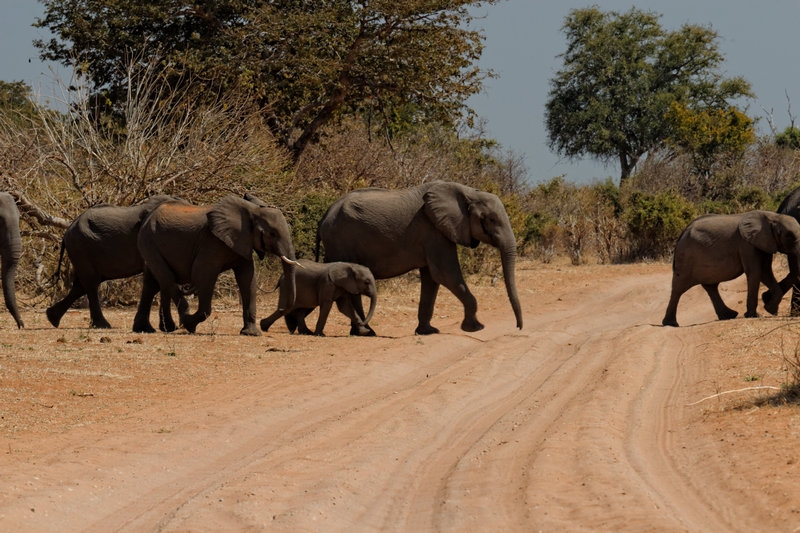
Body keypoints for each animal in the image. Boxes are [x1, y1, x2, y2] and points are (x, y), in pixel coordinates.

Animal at [45, 195, 186, 328]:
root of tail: (67, 232)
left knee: (81, 285)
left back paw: (52, 318)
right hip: (80, 247)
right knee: (91, 282)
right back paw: (102, 325)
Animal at [133, 193, 298, 334]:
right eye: (272, 234)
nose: (265, 324)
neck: (252, 210)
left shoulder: (241, 242)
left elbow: (248, 279)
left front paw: (251, 333)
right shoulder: (212, 243)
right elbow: (203, 274)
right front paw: (190, 324)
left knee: (153, 283)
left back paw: (151, 329)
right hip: (148, 240)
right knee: (167, 278)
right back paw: (183, 322)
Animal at [316, 181, 520, 334]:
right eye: (490, 219)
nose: (518, 327)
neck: (468, 192)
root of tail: (325, 215)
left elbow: (432, 278)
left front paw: (427, 331)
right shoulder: (433, 230)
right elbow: (445, 274)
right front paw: (476, 328)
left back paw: (365, 332)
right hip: (340, 241)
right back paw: (365, 332)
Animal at [660, 210, 800, 326]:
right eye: (790, 236)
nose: (766, 298)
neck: (772, 216)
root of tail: (682, 233)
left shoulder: (763, 243)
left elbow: (765, 272)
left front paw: (770, 310)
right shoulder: (746, 244)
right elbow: (755, 272)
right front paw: (755, 315)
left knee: (710, 287)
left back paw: (728, 315)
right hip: (685, 258)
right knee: (678, 288)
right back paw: (671, 324)